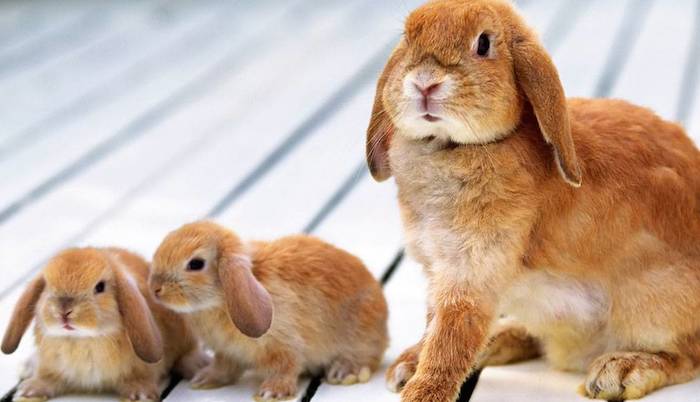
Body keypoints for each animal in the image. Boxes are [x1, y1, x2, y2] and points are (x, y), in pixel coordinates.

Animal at [1, 247, 208, 402]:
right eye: (48, 286)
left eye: (99, 287)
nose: (64, 312)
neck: (84, 339)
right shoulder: (52, 367)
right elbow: (47, 378)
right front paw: (28, 391)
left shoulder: (144, 368)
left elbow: (142, 378)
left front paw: (139, 395)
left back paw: (198, 366)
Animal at [149, 220, 389, 402]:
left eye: (196, 264)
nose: (155, 289)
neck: (220, 300)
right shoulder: (227, 352)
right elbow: (223, 368)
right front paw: (203, 380)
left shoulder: (283, 343)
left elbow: (285, 365)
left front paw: (271, 393)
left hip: (361, 335)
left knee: (366, 355)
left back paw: (345, 373)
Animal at [365, 0, 700, 401]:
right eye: (408, 37)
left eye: (483, 44)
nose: (424, 82)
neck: (452, 146)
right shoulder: (438, 270)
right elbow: (433, 328)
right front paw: (408, 366)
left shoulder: (472, 273)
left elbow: (449, 339)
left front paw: (421, 391)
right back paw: (498, 340)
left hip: (653, 306)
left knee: (686, 355)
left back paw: (621, 370)